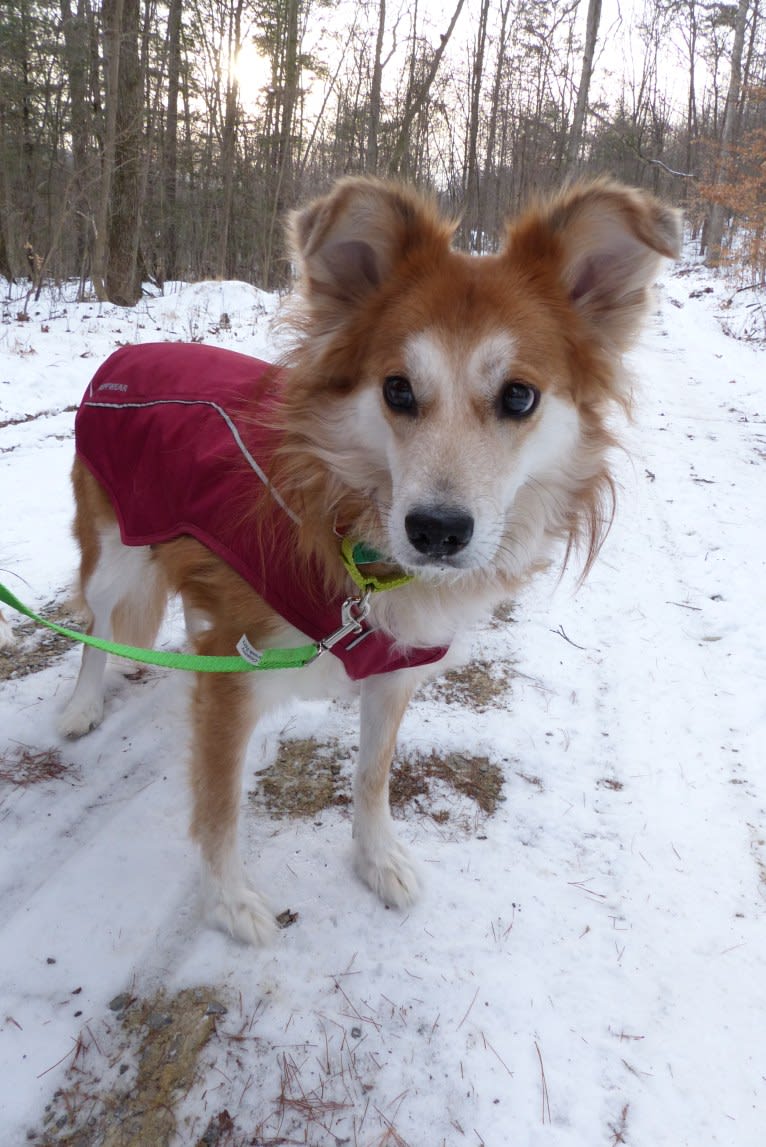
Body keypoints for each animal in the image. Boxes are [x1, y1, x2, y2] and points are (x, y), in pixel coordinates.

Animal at [61, 178, 683, 945]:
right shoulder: (237, 677)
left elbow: (372, 775)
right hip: (111, 549)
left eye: (519, 395)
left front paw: (376, 859)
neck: (358, 544)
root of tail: (124, 356)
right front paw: (230, 903)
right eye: (397, 389)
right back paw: (84, 704)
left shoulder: (394, 669)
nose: (437, 531)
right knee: (93, 624)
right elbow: (220, 808)